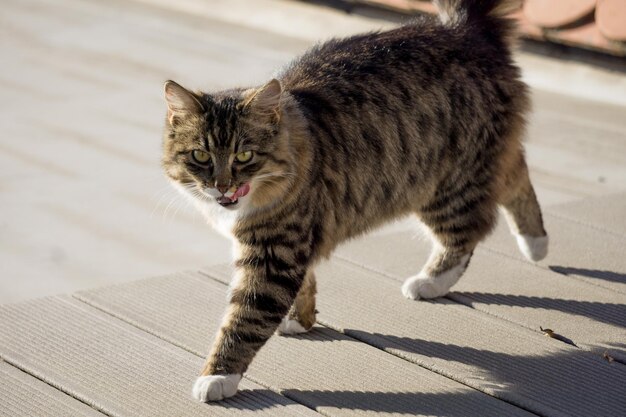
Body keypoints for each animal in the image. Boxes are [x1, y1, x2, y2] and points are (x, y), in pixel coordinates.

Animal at [161, 0, 544, 402]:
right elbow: (305, 284)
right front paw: (301, 319)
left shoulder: (273, 256)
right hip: (484, 162)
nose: (222, 186)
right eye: (201, 157)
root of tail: (463, 28)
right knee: (517, 178)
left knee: (470, 232)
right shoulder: (294, 243)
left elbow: (243, 321)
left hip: (445, 184)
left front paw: (217, 376)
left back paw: (431, 281)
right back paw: (536, 244)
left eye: (245, 156)